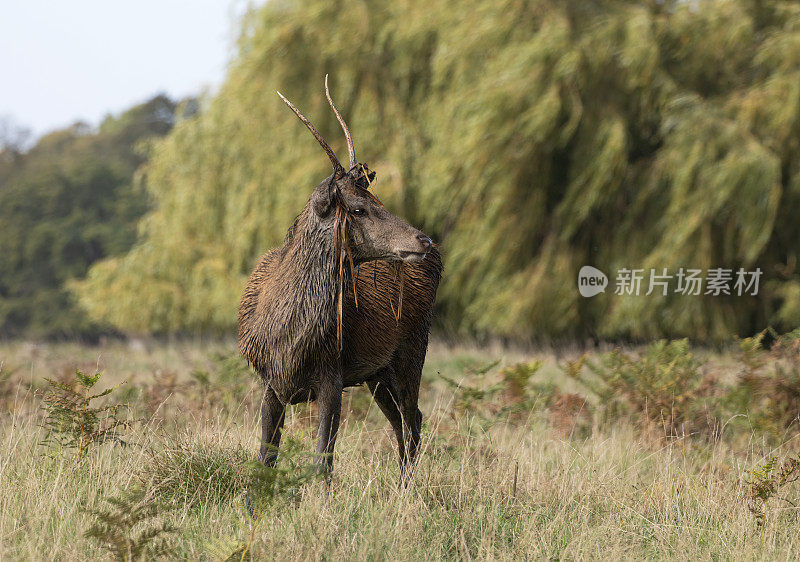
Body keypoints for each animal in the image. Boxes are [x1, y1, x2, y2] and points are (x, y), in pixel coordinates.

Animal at [238, 76, 440, 474]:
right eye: (358, 208)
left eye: (377, 200)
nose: (424, 241)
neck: (290, 339)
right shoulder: (271, 382)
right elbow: (265, 459)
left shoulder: (332, 375)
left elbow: (323, 462)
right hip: (378, 374)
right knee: (404, 422)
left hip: (412, 352)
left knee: (413, 421)